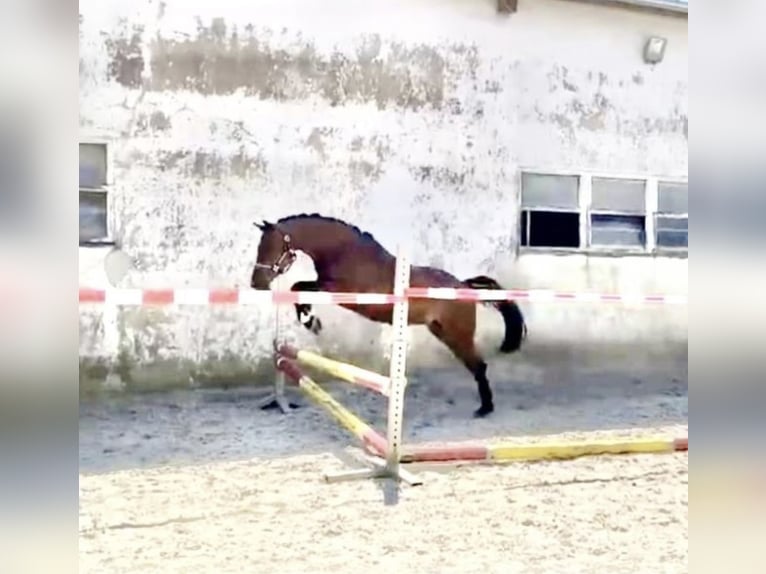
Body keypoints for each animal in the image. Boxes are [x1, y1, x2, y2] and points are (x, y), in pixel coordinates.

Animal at [252, 213, 528, 418]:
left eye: (270, 247)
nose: (257, 283)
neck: (344, 251)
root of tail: (463, 285)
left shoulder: (338, 290)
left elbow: (298, 287)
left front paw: (311, 321)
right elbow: (298, 288)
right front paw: (310, 319)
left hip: (457, 334)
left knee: (479, 366)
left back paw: (485, 408)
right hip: (443, 332)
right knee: (476, 365)